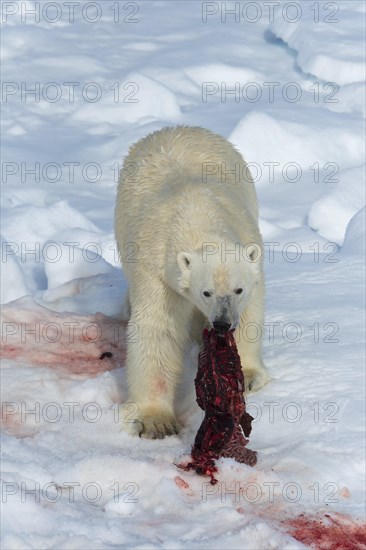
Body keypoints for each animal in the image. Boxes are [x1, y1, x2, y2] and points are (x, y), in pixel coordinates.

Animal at [115, 125, 268, 440]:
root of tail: (176, 128)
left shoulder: (249, 246)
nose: (222, 323)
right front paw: (156, 421)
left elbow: (250, 312)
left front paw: (248, 375)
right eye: (205, 292)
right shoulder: (158, 270)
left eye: (238, 289)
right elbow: (158, 328)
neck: (197, 216)